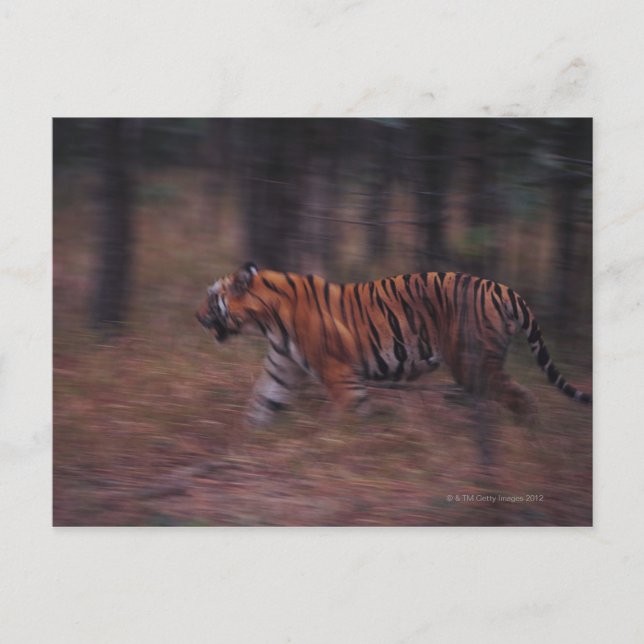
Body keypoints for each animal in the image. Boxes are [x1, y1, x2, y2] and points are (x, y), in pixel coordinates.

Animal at [195, 262, 591, 429]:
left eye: (211, 298)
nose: (196, 314)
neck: (267, 322)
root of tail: (504, 289)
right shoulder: (282, 369)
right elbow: (261, 405)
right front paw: (241, 445)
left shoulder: (339, 373)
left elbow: (353, 412)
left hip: (473, 364)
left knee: (522, 396)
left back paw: (529, 436)